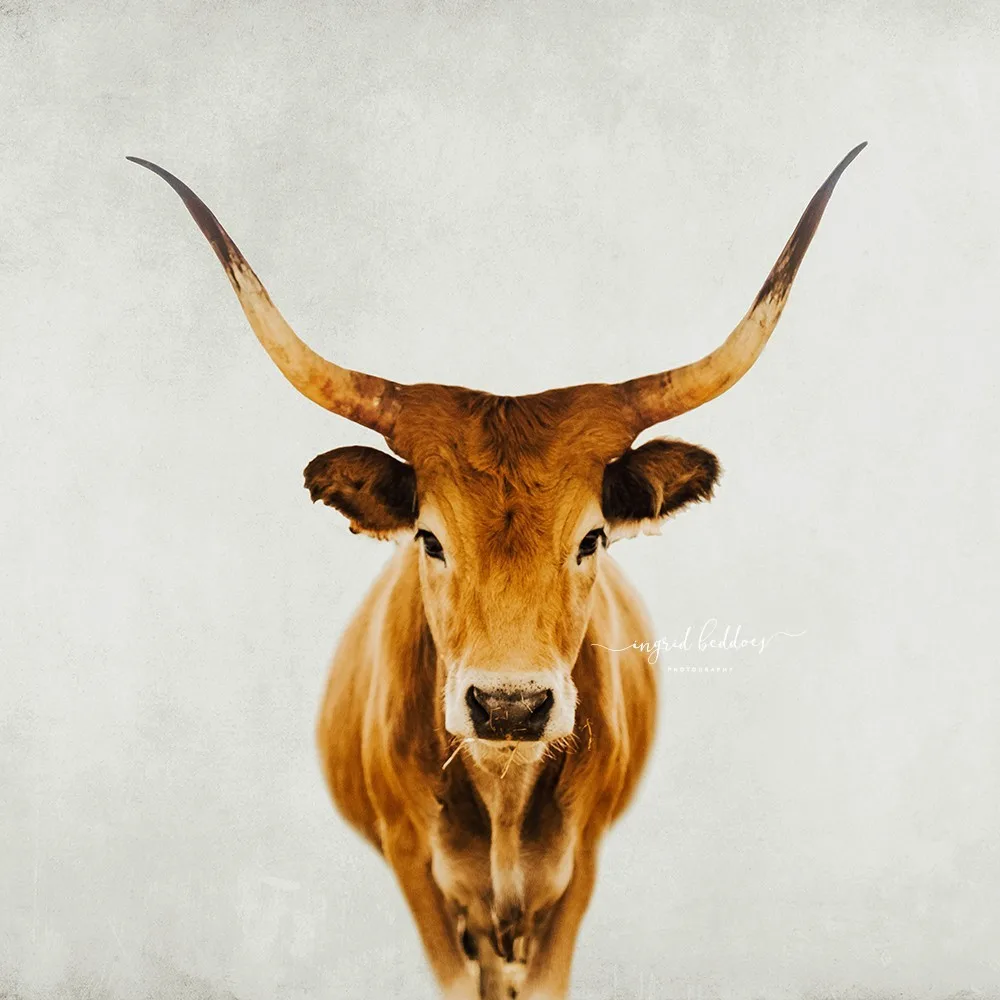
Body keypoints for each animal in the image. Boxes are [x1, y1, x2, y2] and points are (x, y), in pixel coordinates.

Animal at [129, 143, 864, 1000]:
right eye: (429, 539)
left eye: (592, 539)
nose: (509, 705)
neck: (504, 786)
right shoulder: (417, 873)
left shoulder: (577, 875)